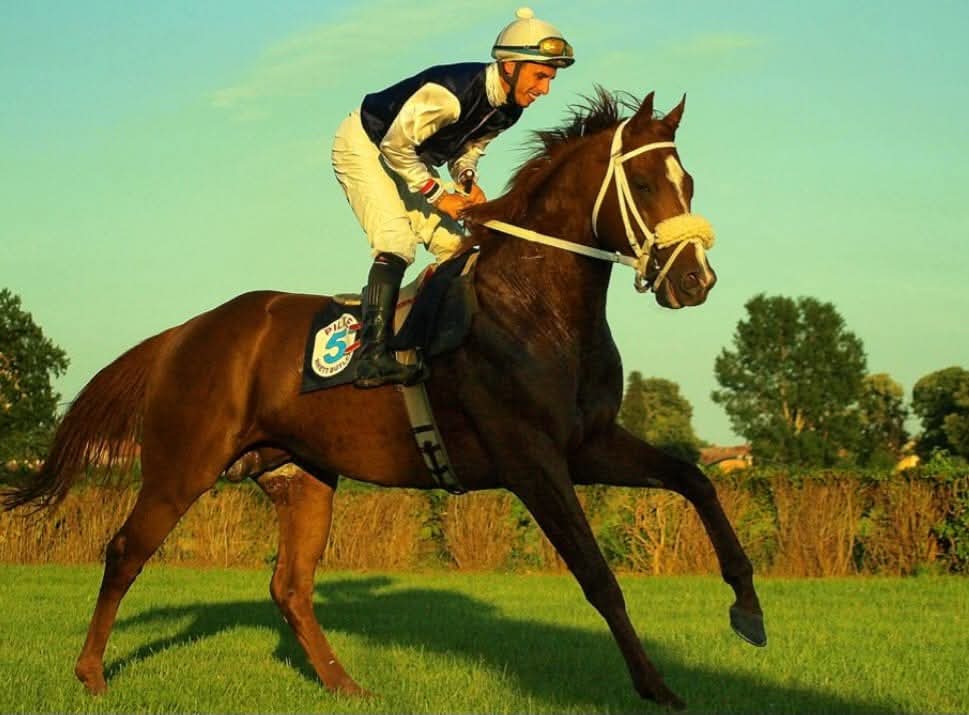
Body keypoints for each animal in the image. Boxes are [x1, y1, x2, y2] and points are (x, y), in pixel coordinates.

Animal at [2, 89, 765, 710]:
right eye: (644, 181)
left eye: (687, 181)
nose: (694, 280)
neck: (536, 307)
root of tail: (184, 332)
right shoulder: (532, 461)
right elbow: (598, 575)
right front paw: (656, 685)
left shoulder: (588, 443)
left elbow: (694, 479)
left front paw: (747, 610)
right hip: (181, 466)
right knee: (125, 550)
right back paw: (91, 673)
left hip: (302, 476)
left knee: (289, 587)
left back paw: (345, 684)